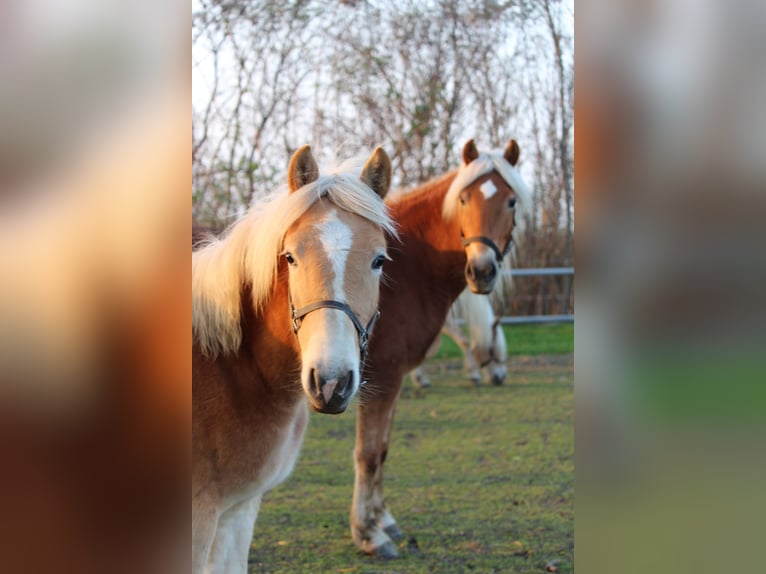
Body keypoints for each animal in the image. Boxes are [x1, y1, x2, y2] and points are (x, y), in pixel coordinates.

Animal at [352, 138, 532, 560]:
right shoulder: (380, 378)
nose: (482, 271)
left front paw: (384, 520)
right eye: (464, 198)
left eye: (511, 201)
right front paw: (368, 534)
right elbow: (368, 454)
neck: (402, 267)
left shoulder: (393, 380)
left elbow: (383, 449)